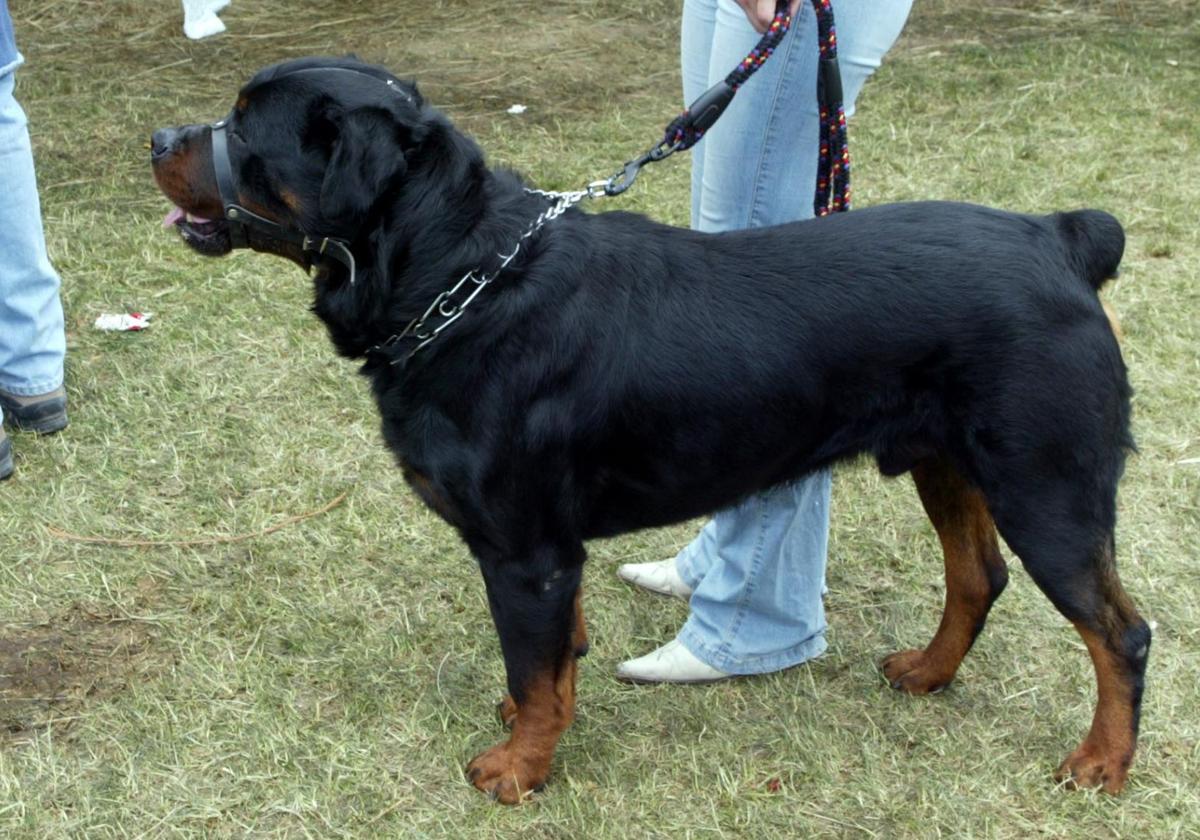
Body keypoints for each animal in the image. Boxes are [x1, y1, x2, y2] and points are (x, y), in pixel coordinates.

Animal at [150, 55, 1142, 801]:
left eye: (244, 129)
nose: (158, 139)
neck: (460, 278)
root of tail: (1057, 239)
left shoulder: (526, 552)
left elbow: (534, 668)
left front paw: (518, 770)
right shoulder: (546, 552)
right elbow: (550, 660)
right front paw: (529, 724)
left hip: (1047, 484)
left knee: (1119, 634)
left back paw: (1101, 761)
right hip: (950, 460)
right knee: (978, 575)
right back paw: (930, 674)